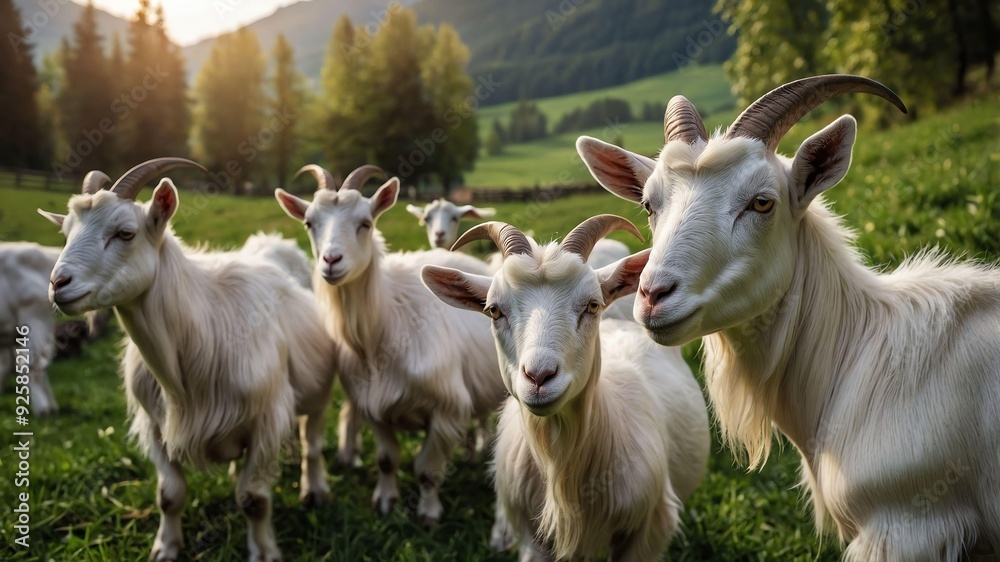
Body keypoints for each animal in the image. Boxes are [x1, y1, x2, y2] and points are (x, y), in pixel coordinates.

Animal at [39, 160, 337, 562]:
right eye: (66, 232)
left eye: (125, 233)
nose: (58, 284)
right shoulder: (156, 425)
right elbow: (170, 496)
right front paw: (165, 547)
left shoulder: (267, 418)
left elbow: (254, 499)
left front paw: (263, 551)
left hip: (318, 392)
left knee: (313, 443)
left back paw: (316, 490)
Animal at [275, 165, 508, 526]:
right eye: (309, 223)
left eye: (366, 223)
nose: (331, 260)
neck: (380, 334)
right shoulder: (373, 407)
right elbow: (387, 459)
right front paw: (385, 500)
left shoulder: (447, 409)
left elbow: (427, 470)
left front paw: (428, 514)